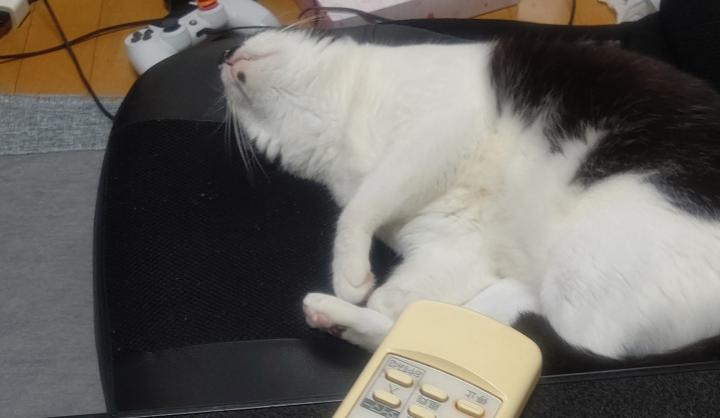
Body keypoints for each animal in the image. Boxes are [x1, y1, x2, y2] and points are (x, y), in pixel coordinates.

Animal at [220, 29, 720, 361]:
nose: (222, 54)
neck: (339, 122)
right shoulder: (456, 245)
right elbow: (411, 301)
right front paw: (381, 298)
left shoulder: (442, 130)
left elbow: (363, 205)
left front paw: (351, 274)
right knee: (473, 323)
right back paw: (338, 318)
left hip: (586, 267)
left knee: (569, 337)